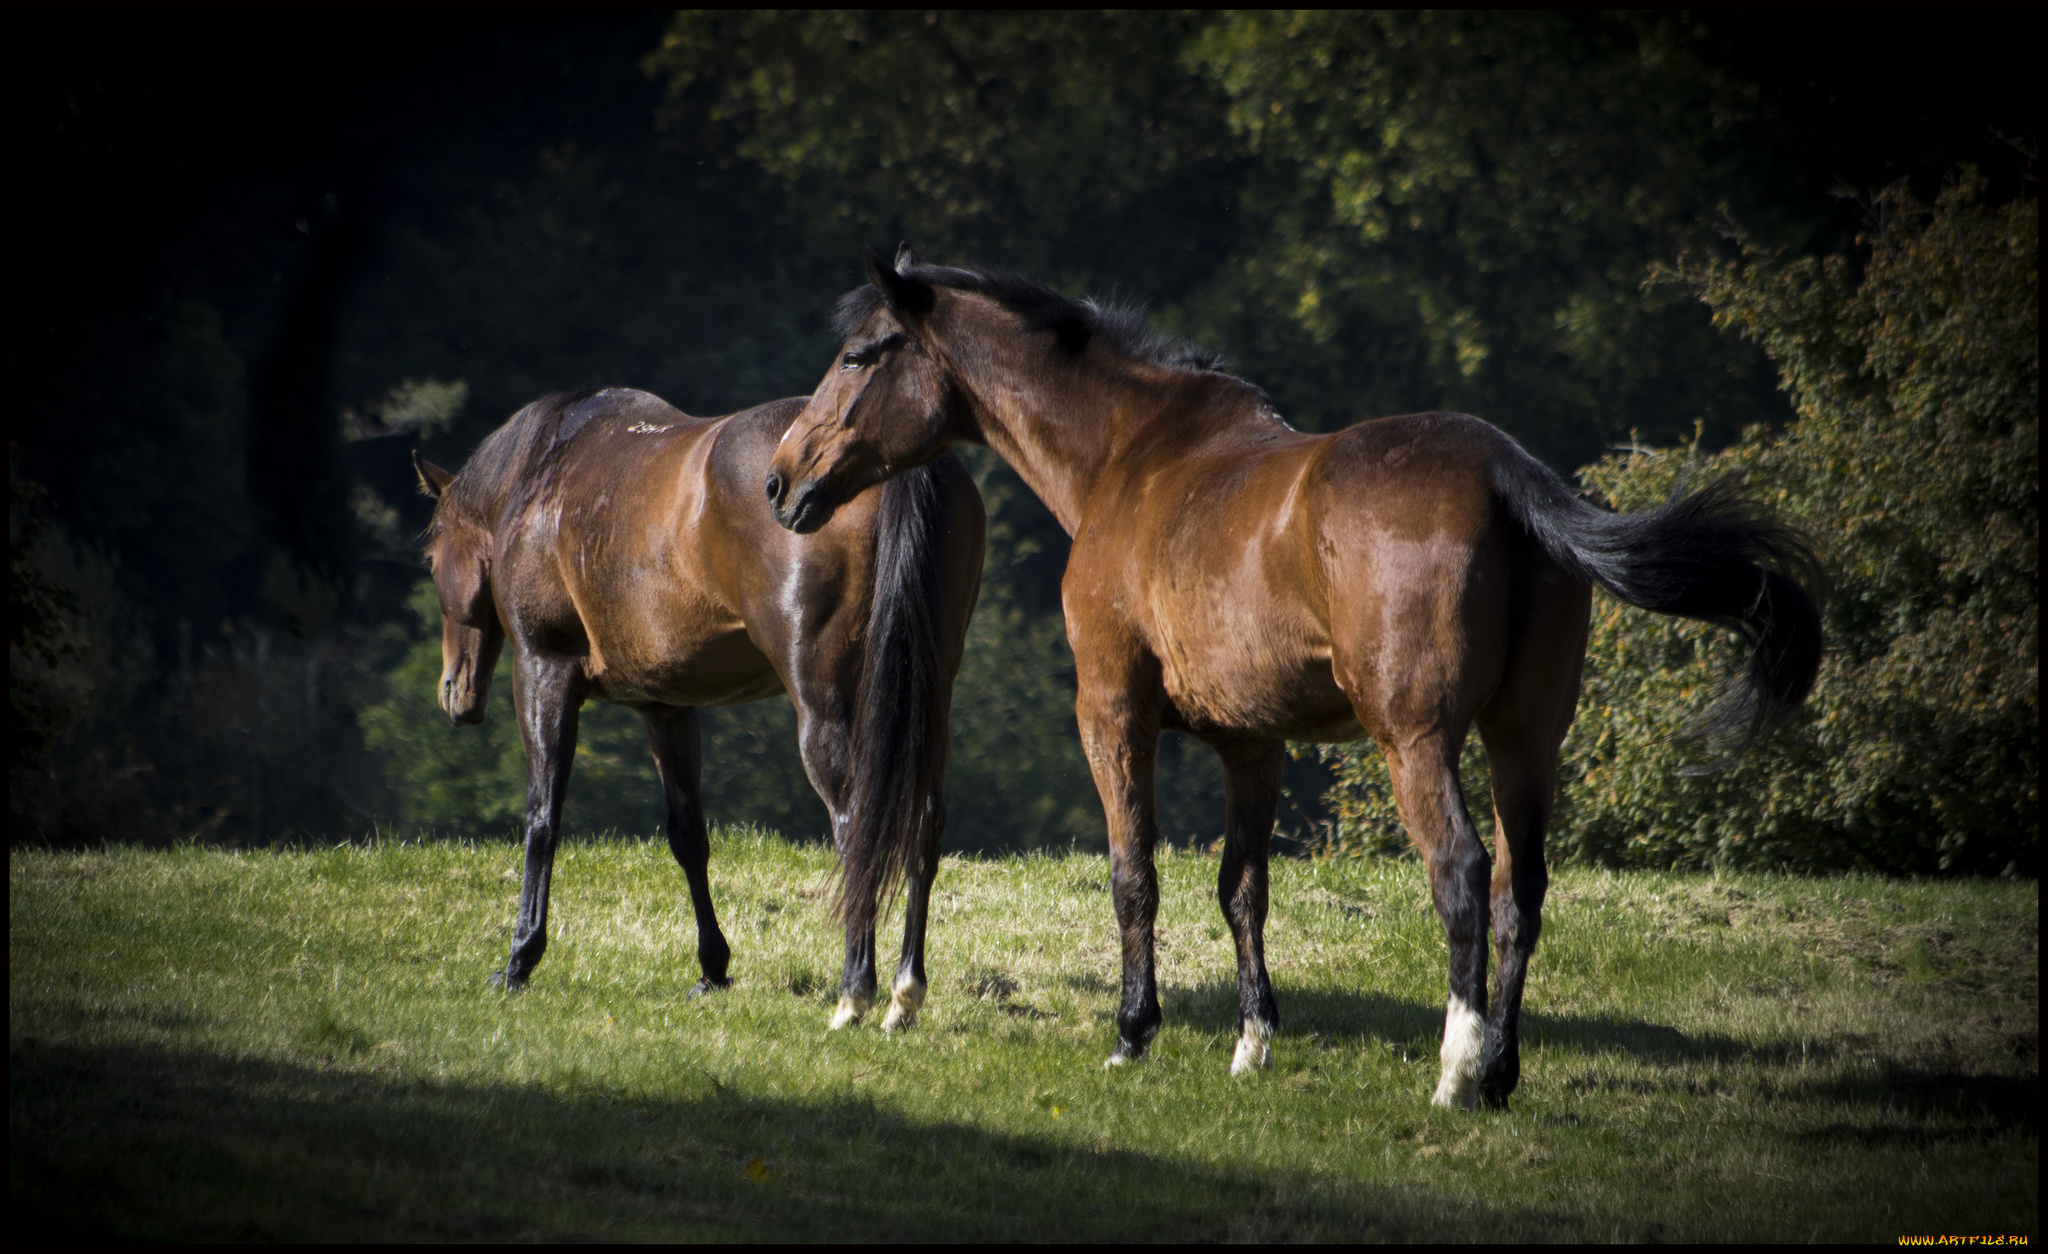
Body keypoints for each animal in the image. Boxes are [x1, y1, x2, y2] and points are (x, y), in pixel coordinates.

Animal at [413, 387, 983, 1032]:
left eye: (430, 559)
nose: (454, 693)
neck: (541, 474)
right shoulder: (666, 707)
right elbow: (689, 836)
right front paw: (713, 968)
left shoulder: (543, 673)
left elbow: (542, 820)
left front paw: (519, 959)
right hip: (925, 700)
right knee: (922, 821)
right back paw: (904, 993)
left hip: (827, 707)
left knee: (857, 824)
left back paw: (854, 992)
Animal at [761, 249, 1818, 1114]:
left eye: (860, 355)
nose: (780, 481)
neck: (1134, 455)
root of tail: (1504, 472)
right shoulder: (1252, 743)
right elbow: (1243, 888)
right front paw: (1252, 1043)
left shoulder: (1112, 710)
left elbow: (1134, 873)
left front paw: (1133, 1033)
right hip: (1524, 741)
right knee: (1522, 889)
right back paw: (1501, 1075)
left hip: (1417, 741)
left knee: (1462, 875)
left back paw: (1455, 1071)